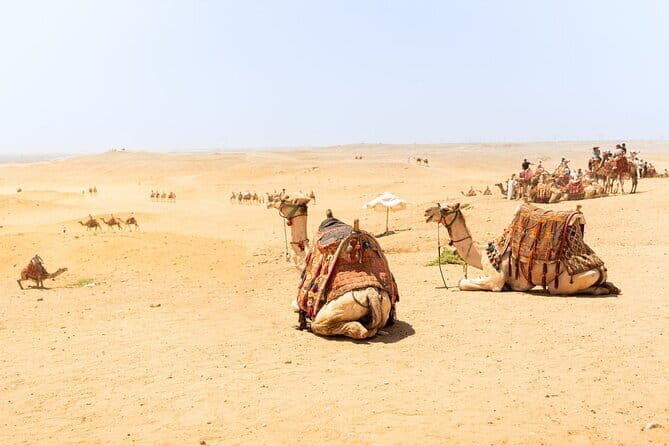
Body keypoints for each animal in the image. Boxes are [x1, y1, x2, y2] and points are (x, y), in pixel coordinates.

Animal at [271, 200, 397, 339]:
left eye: (285, 201)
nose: (274, 203)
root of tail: (371, 293)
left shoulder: (301, 301)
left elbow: (295, 305)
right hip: (384, 306)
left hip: (333, 311)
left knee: (328, 326)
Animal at [424, 202, 620, 296]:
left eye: (445, 208)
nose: (426, 212)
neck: (481, 253)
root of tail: (601, 267)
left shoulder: (495, 279)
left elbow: (462, 283)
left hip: (567, 280)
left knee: (558, 289)